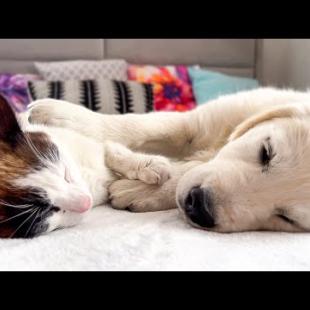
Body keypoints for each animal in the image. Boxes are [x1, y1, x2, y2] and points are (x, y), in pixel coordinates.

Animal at [28, 87, 310, 232]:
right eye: (266, 152)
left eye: (287, 218)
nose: (200, 207)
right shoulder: (212, 118)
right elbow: (153, 126)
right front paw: (65, 115)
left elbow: (184, 172)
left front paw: (139, 190)